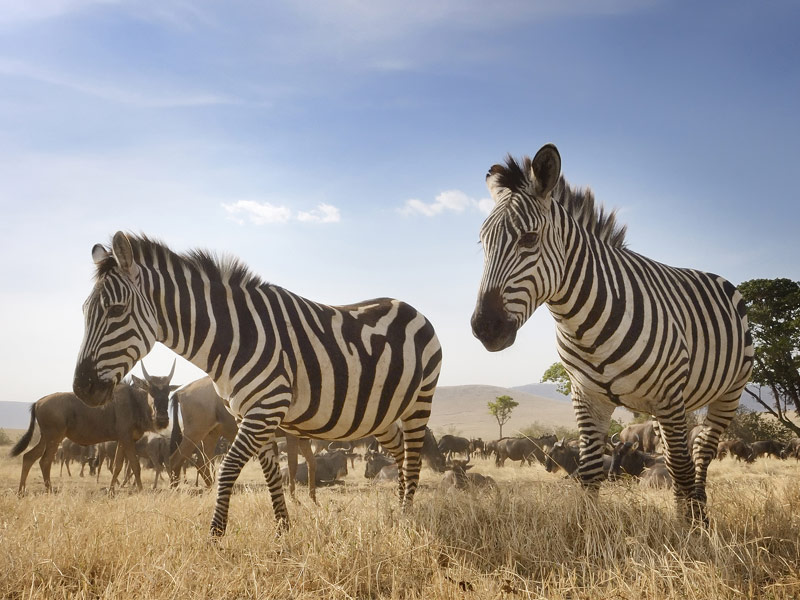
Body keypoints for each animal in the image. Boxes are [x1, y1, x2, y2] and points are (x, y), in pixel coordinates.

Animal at [72, 232, 440, 536]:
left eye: (116, 310)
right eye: (84, 310)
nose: (81, 389)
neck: (235, 338)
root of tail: (410, 307)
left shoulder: (265, 410)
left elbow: (228, 469)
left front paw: (215, 538)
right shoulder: (252, 415)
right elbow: (272, 474)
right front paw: (283, 532)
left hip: (419, 402)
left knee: (413, 459)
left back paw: (407, 519)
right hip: (381, 413)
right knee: (399, 451)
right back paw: (400, 509)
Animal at [468, 143, 752, 524]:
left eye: (529, 239)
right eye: (482, 243)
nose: (485, 327)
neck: (582, 322)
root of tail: (717, 276)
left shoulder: (669, 394)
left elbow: (679, 468)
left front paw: (687, 530)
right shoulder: (587, 397)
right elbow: (589, 472)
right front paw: (589, 529)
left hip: (727, 392)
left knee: (700, 451)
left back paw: (700, 514)